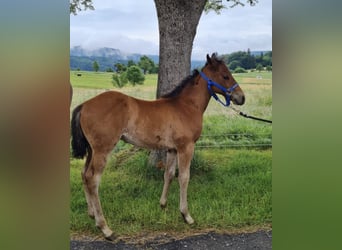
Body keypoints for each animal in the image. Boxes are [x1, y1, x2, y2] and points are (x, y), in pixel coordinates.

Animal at [71, 53, 244, 240]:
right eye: (225, 76)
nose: (241, 98)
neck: (186, 106)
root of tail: (84, 105)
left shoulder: (172, 149)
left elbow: (169, 174)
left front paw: (163, 205)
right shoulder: (186, 147)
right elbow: (184, 177)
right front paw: (186, 215)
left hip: (91, 150)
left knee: (84, 174)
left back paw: (91, 214)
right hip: (103, 149)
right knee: (93, 179)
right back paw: (105, 228)